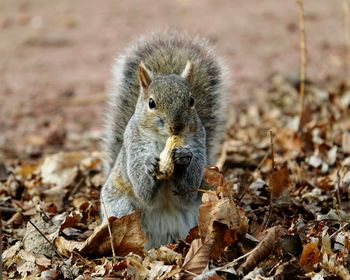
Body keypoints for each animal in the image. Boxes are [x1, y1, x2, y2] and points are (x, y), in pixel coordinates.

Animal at [100, 30, 228, 248]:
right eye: (151, 103)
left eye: (191, 100)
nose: (176, 126)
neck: (163, 142)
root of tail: (161, 238)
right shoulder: (133, 148)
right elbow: (144, 192)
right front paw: (150, 164)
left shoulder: (198, 145)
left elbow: (188, 189)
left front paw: (184, 158)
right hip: (121, 208)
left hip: (205, 205)